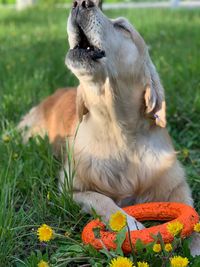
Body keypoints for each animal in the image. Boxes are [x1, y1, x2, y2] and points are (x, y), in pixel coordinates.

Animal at [18, 0, 198, 255]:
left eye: (122, 27)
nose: (80, 3)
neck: (118, 134)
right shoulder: (68, 189)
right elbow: (101, 199)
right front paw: (129, 223)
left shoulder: (176, 183)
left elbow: (191, 211)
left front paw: (195, 246)